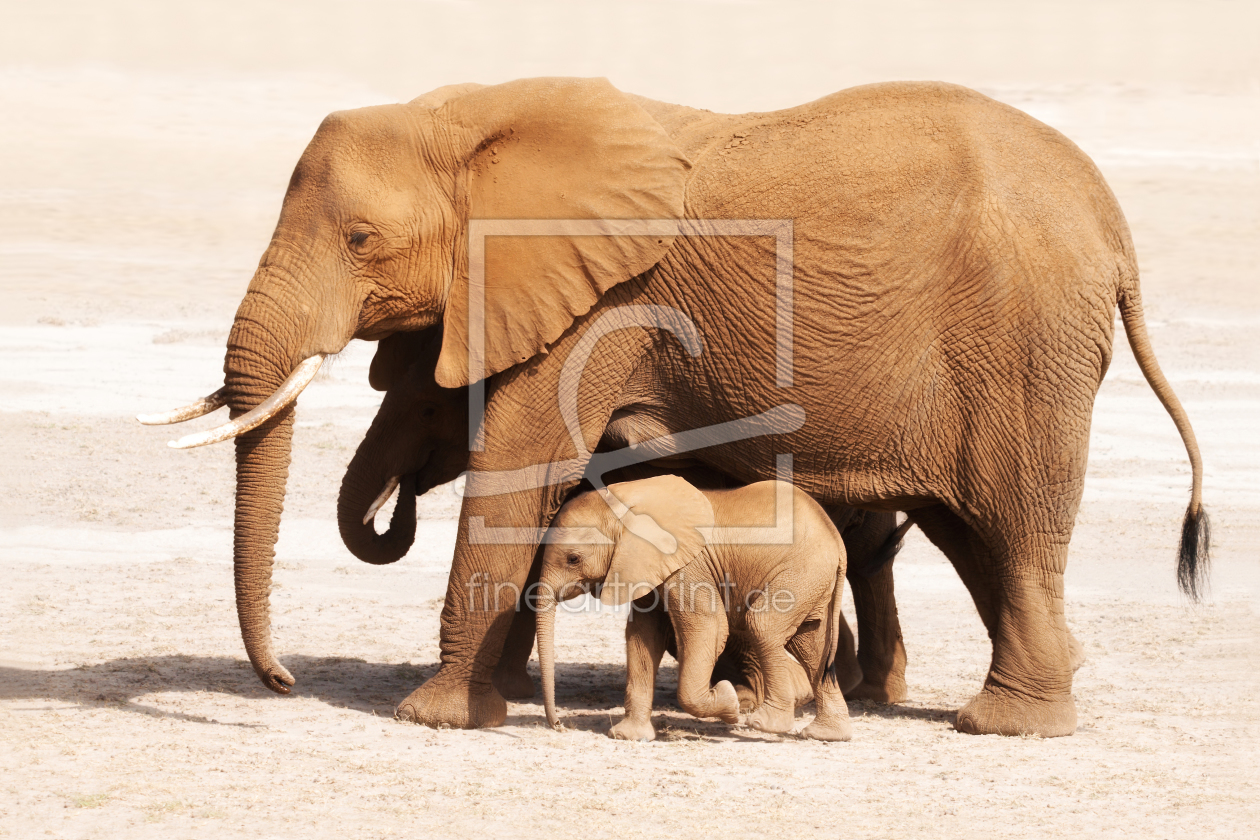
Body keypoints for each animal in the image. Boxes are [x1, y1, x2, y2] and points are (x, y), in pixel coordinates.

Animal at [536, 473, 851, 740]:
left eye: (573, 559)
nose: (559, 725)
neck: (623, 501)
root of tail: (837, 539)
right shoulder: (647, 566)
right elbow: (642, 635)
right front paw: (627, 737)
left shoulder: (689, 567)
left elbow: (708, 629)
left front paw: (730, 704)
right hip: (811, 579)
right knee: (812, 645)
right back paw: (826, 735)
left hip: (800, 572)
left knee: (764, 626)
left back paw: (765, 724)